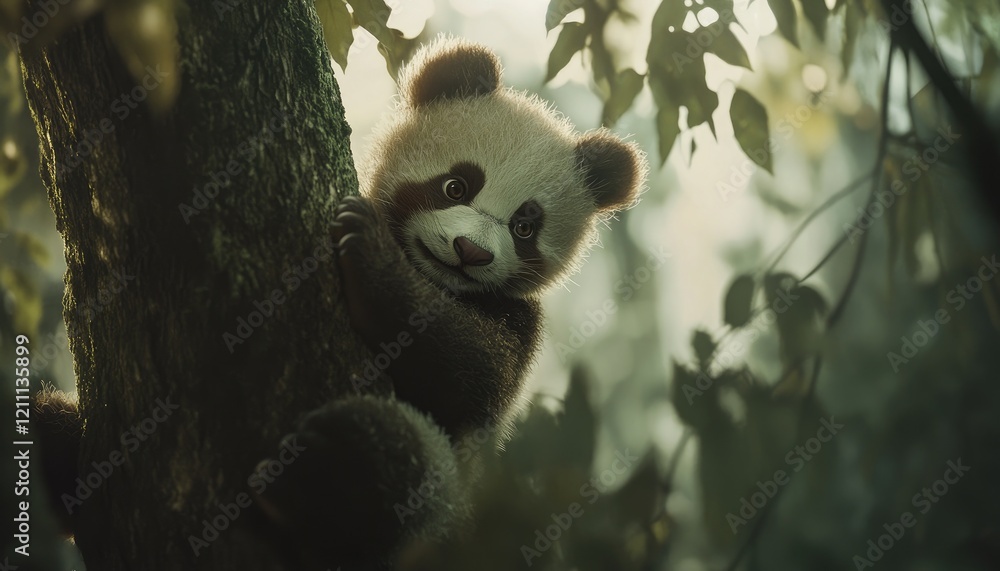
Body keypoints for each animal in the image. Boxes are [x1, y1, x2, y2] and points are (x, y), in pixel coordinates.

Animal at [33, 36, 645, 569]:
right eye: (456, 185)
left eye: (524, 226)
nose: (469, 252)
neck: (432, 276)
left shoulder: (519, 323)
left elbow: (474, 371)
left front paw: (370, 254)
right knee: (53, 426)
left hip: (448, 513)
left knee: (403, 474)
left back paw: (329, 470)